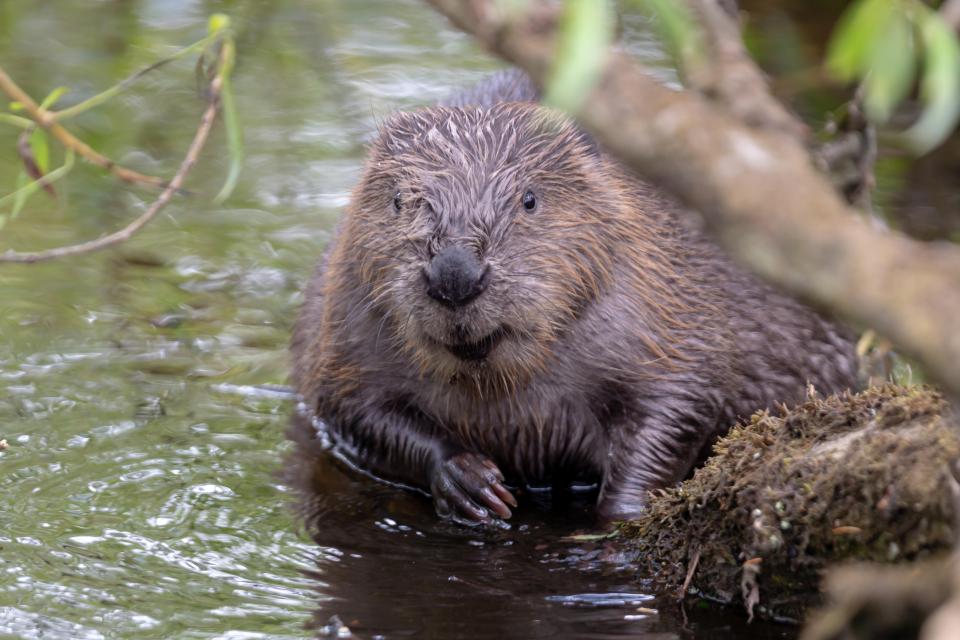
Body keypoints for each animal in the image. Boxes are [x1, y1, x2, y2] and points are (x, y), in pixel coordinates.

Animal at [290, 70, 856, 524]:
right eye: (398, 200)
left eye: (529, 199)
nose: (455, 274)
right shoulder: (345, 323)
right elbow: (351, 410)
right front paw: (472, 481)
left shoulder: (665, 304)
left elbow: (681, 403)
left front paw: (622, 513)